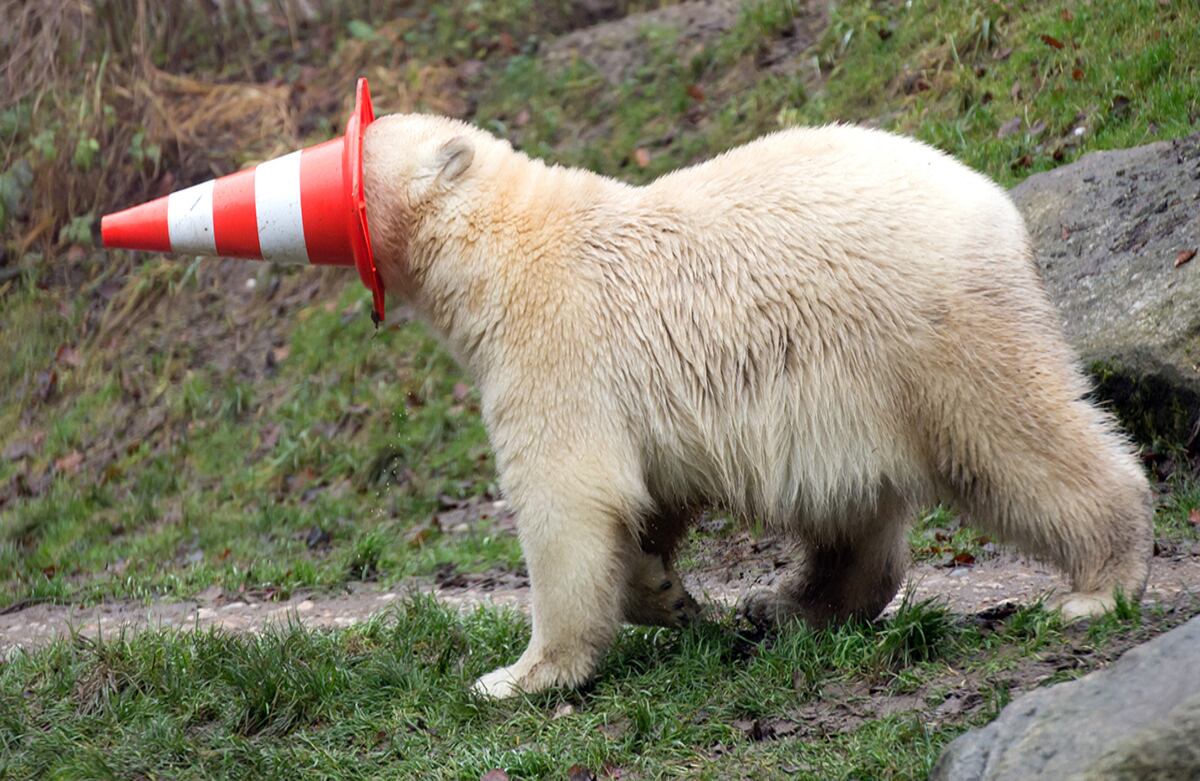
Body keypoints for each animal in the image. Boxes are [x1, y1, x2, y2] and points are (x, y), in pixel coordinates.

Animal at [362, 115, 1153, 699]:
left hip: (934, 333)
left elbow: (572, 499)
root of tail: (1002, 211)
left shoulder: (558, 344)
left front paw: (519, 676)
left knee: (1016, 442)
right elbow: (645, 504)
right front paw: (668, 595)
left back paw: (1100, 584)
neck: (502, 251)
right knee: (852, 515)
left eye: (355, 144)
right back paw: (786, 605)